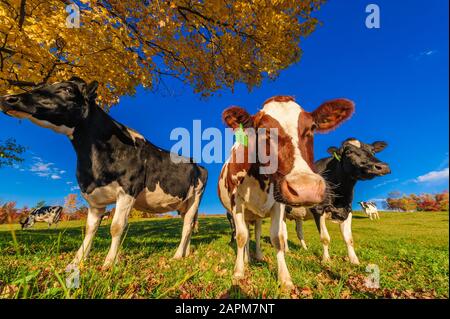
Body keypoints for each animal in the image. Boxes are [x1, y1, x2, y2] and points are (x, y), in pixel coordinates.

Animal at [0, 78, 207, 270]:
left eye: (67, 89)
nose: (8, 99)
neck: (94, 164)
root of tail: (198, 164)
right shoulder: (94, 199)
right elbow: (89, 229)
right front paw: (76, 262)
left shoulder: (127, 191)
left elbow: (116, 227)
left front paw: (108, 264)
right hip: (182, 205)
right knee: (188, 227)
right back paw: (186, 253)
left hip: (195, 198)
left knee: (187, 226)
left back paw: (177, 256)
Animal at [218, 95, 356, 290]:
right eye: (263, 131)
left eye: (312, 127)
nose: (305, 188)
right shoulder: (236, 201)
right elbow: (241, 236)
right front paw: (238, 273)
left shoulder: (279, 202)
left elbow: (278, 238)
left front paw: (285, 278)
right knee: (245, 233)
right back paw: (245, 259)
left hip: (258, 216)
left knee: (257, 233)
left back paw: (257, 255)